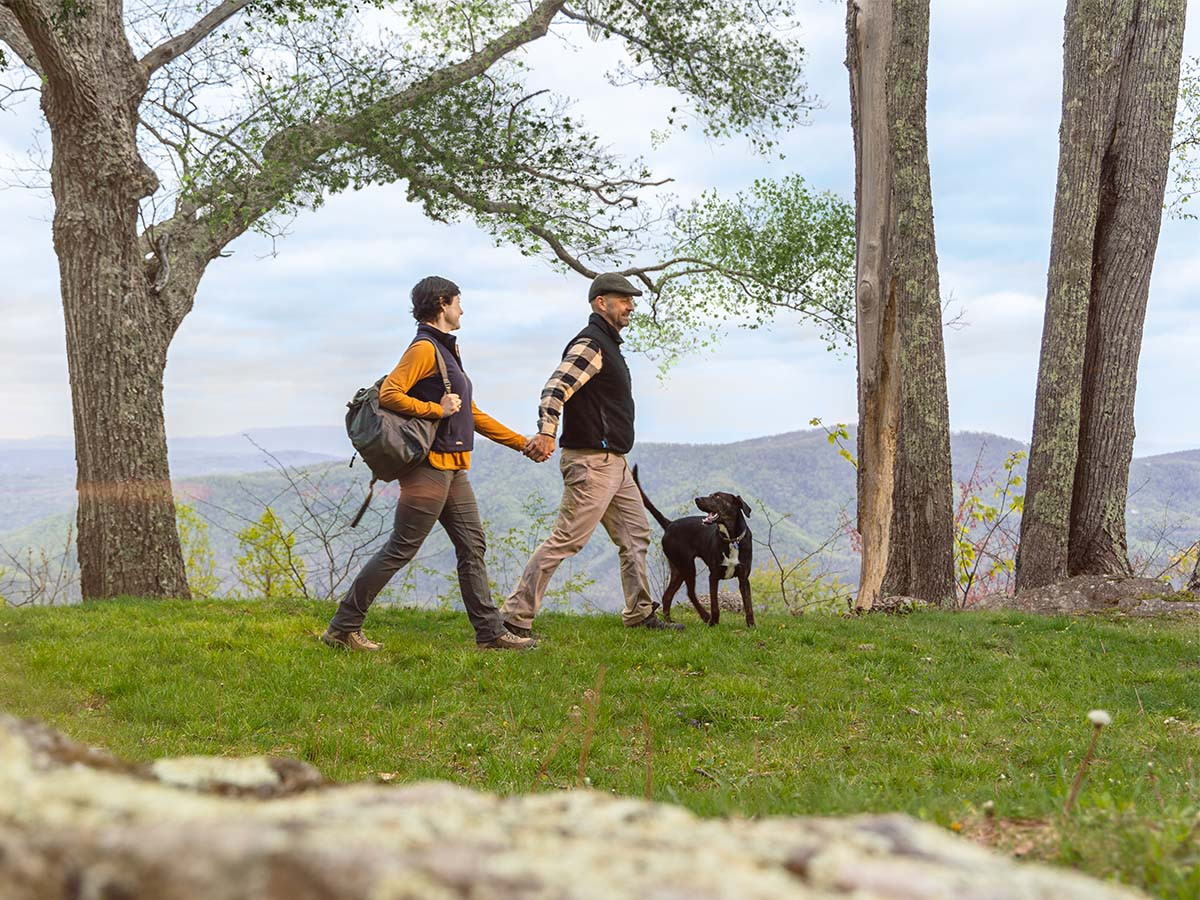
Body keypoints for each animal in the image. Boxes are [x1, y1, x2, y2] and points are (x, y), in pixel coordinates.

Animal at [633, 465, 753, 628]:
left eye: (717, 497)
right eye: (710, 494)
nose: (697, 499)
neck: (731, 539)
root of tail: (670, 524)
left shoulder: (744, 578)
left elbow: (749, 605)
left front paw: (752, 626)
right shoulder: (713, 576)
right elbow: (715, 605)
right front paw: (713, 622)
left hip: (678, 568)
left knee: (667, 595)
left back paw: (669, 621)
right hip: (687, 565)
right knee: (690, 593)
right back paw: (705, 616)